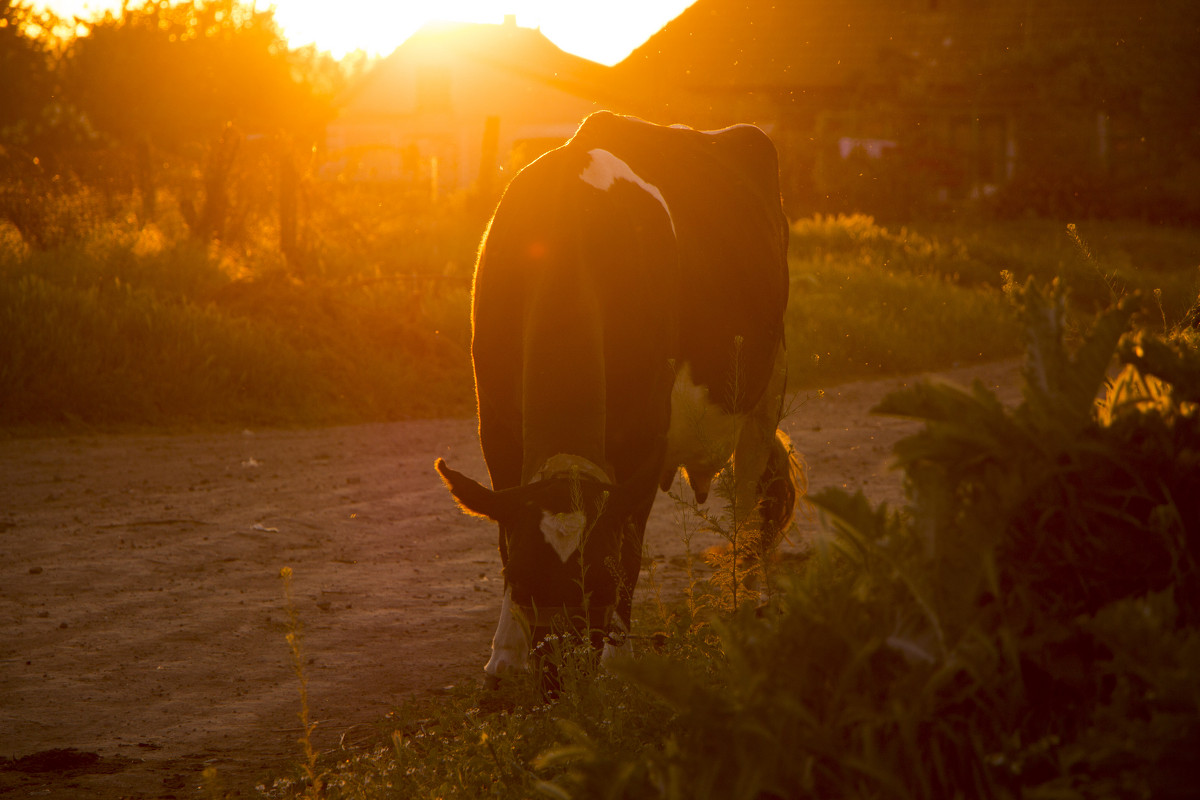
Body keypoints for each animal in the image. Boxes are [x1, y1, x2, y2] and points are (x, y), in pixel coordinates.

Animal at [436, 110, 801, 690]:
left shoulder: (644, 438)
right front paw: (504, 659)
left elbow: (630, 544)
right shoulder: (495, 426)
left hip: (767, 387)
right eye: (524, 578)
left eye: (598, 582)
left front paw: (616, 659)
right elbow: (503, 527)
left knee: (749, 506)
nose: (560, 678)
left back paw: (750, 607)